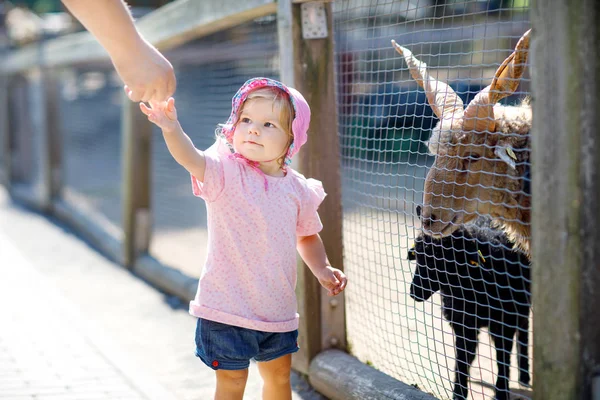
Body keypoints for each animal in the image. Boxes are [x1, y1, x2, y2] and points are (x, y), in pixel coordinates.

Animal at [408, 214, 528, 400]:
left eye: (442, 260)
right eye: (418, 256)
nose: (414, 292)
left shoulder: (504, 321)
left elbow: (502, 357)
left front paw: (501, 392)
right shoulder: (463, 323)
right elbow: (464, 357)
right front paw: (459, 392)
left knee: (524, 330)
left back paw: (524, 374)